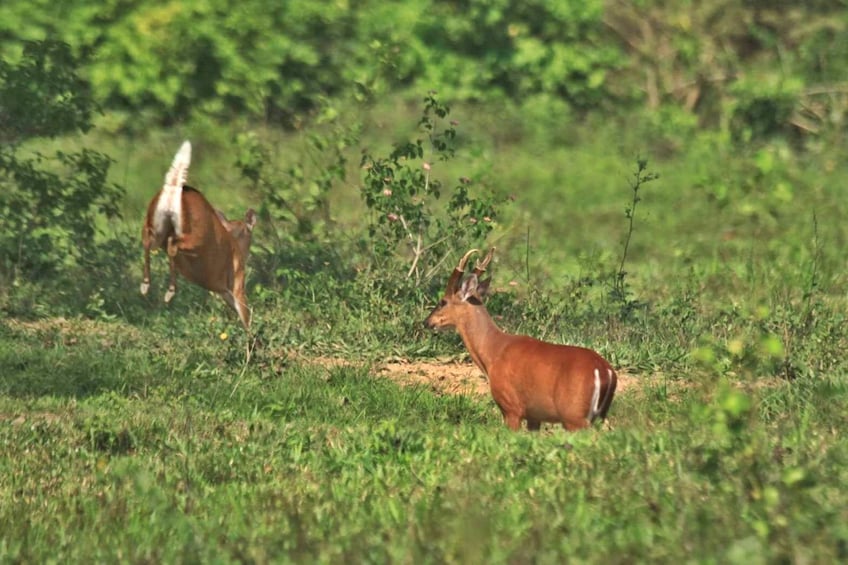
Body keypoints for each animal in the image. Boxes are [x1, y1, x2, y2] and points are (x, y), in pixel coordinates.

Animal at [140, 139, 255, 328]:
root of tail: (174, 188)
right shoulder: (237, 284)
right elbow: (247, 316)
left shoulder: (223, 290)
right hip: (195, 237)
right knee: (172, 244)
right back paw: (169, 292)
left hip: (153, 224)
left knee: (148, 242)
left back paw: (147, 286)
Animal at [424, 248, 616, 432]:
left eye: (443, 301)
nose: (426, 322)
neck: (493, 352)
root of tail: (605, 371)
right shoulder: (534, 416)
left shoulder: (511, 408)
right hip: (599, 416)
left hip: (573, 415)